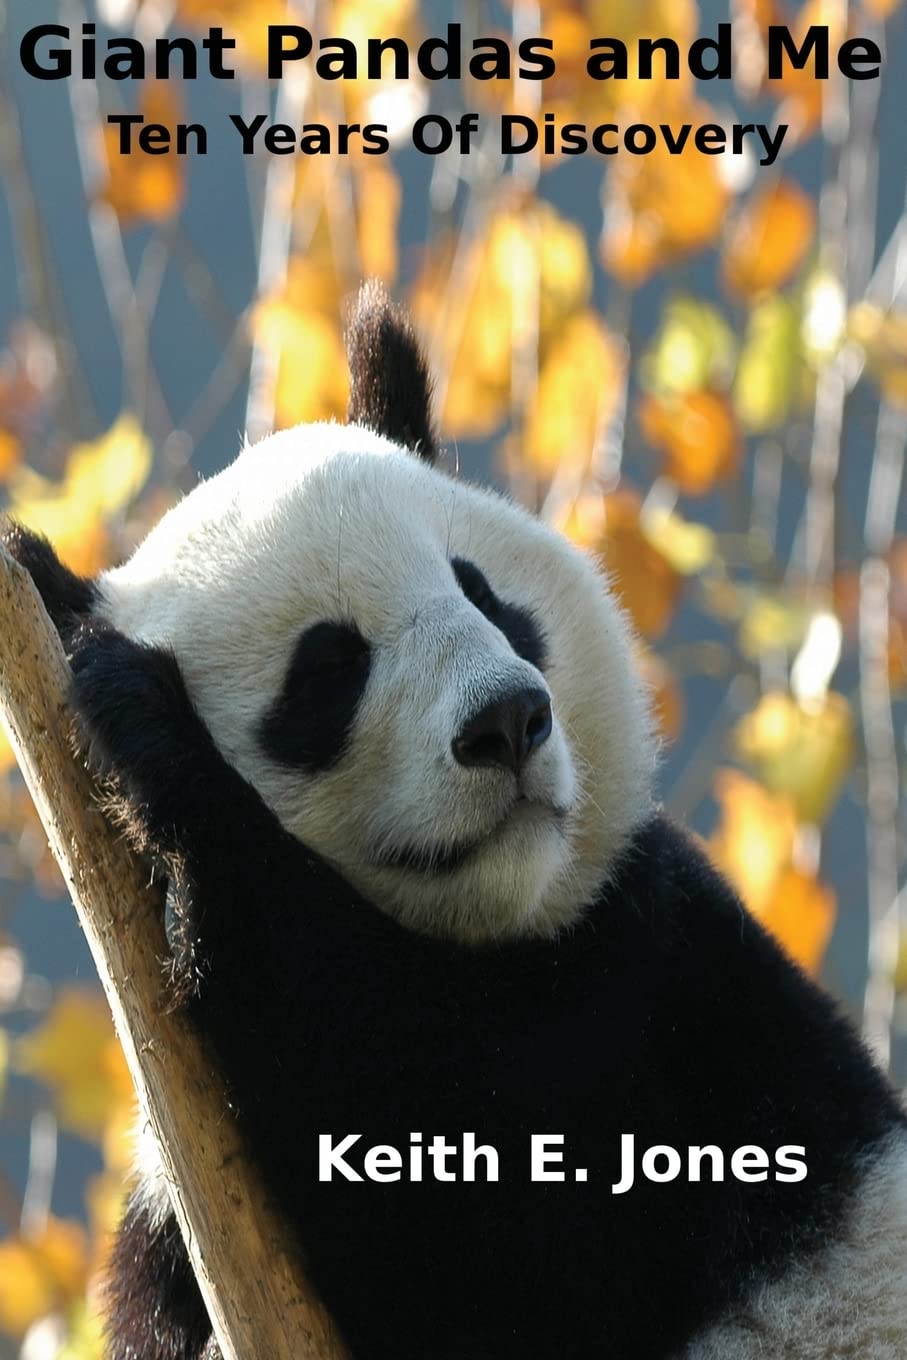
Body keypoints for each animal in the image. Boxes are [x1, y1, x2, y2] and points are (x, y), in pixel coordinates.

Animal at [3, 282, 907, 1360]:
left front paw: (150, 732)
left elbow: (507, 1228)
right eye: (326, 671)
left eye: (483, 594)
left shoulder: (672, 992)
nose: (505, 721)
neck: (495, 942)